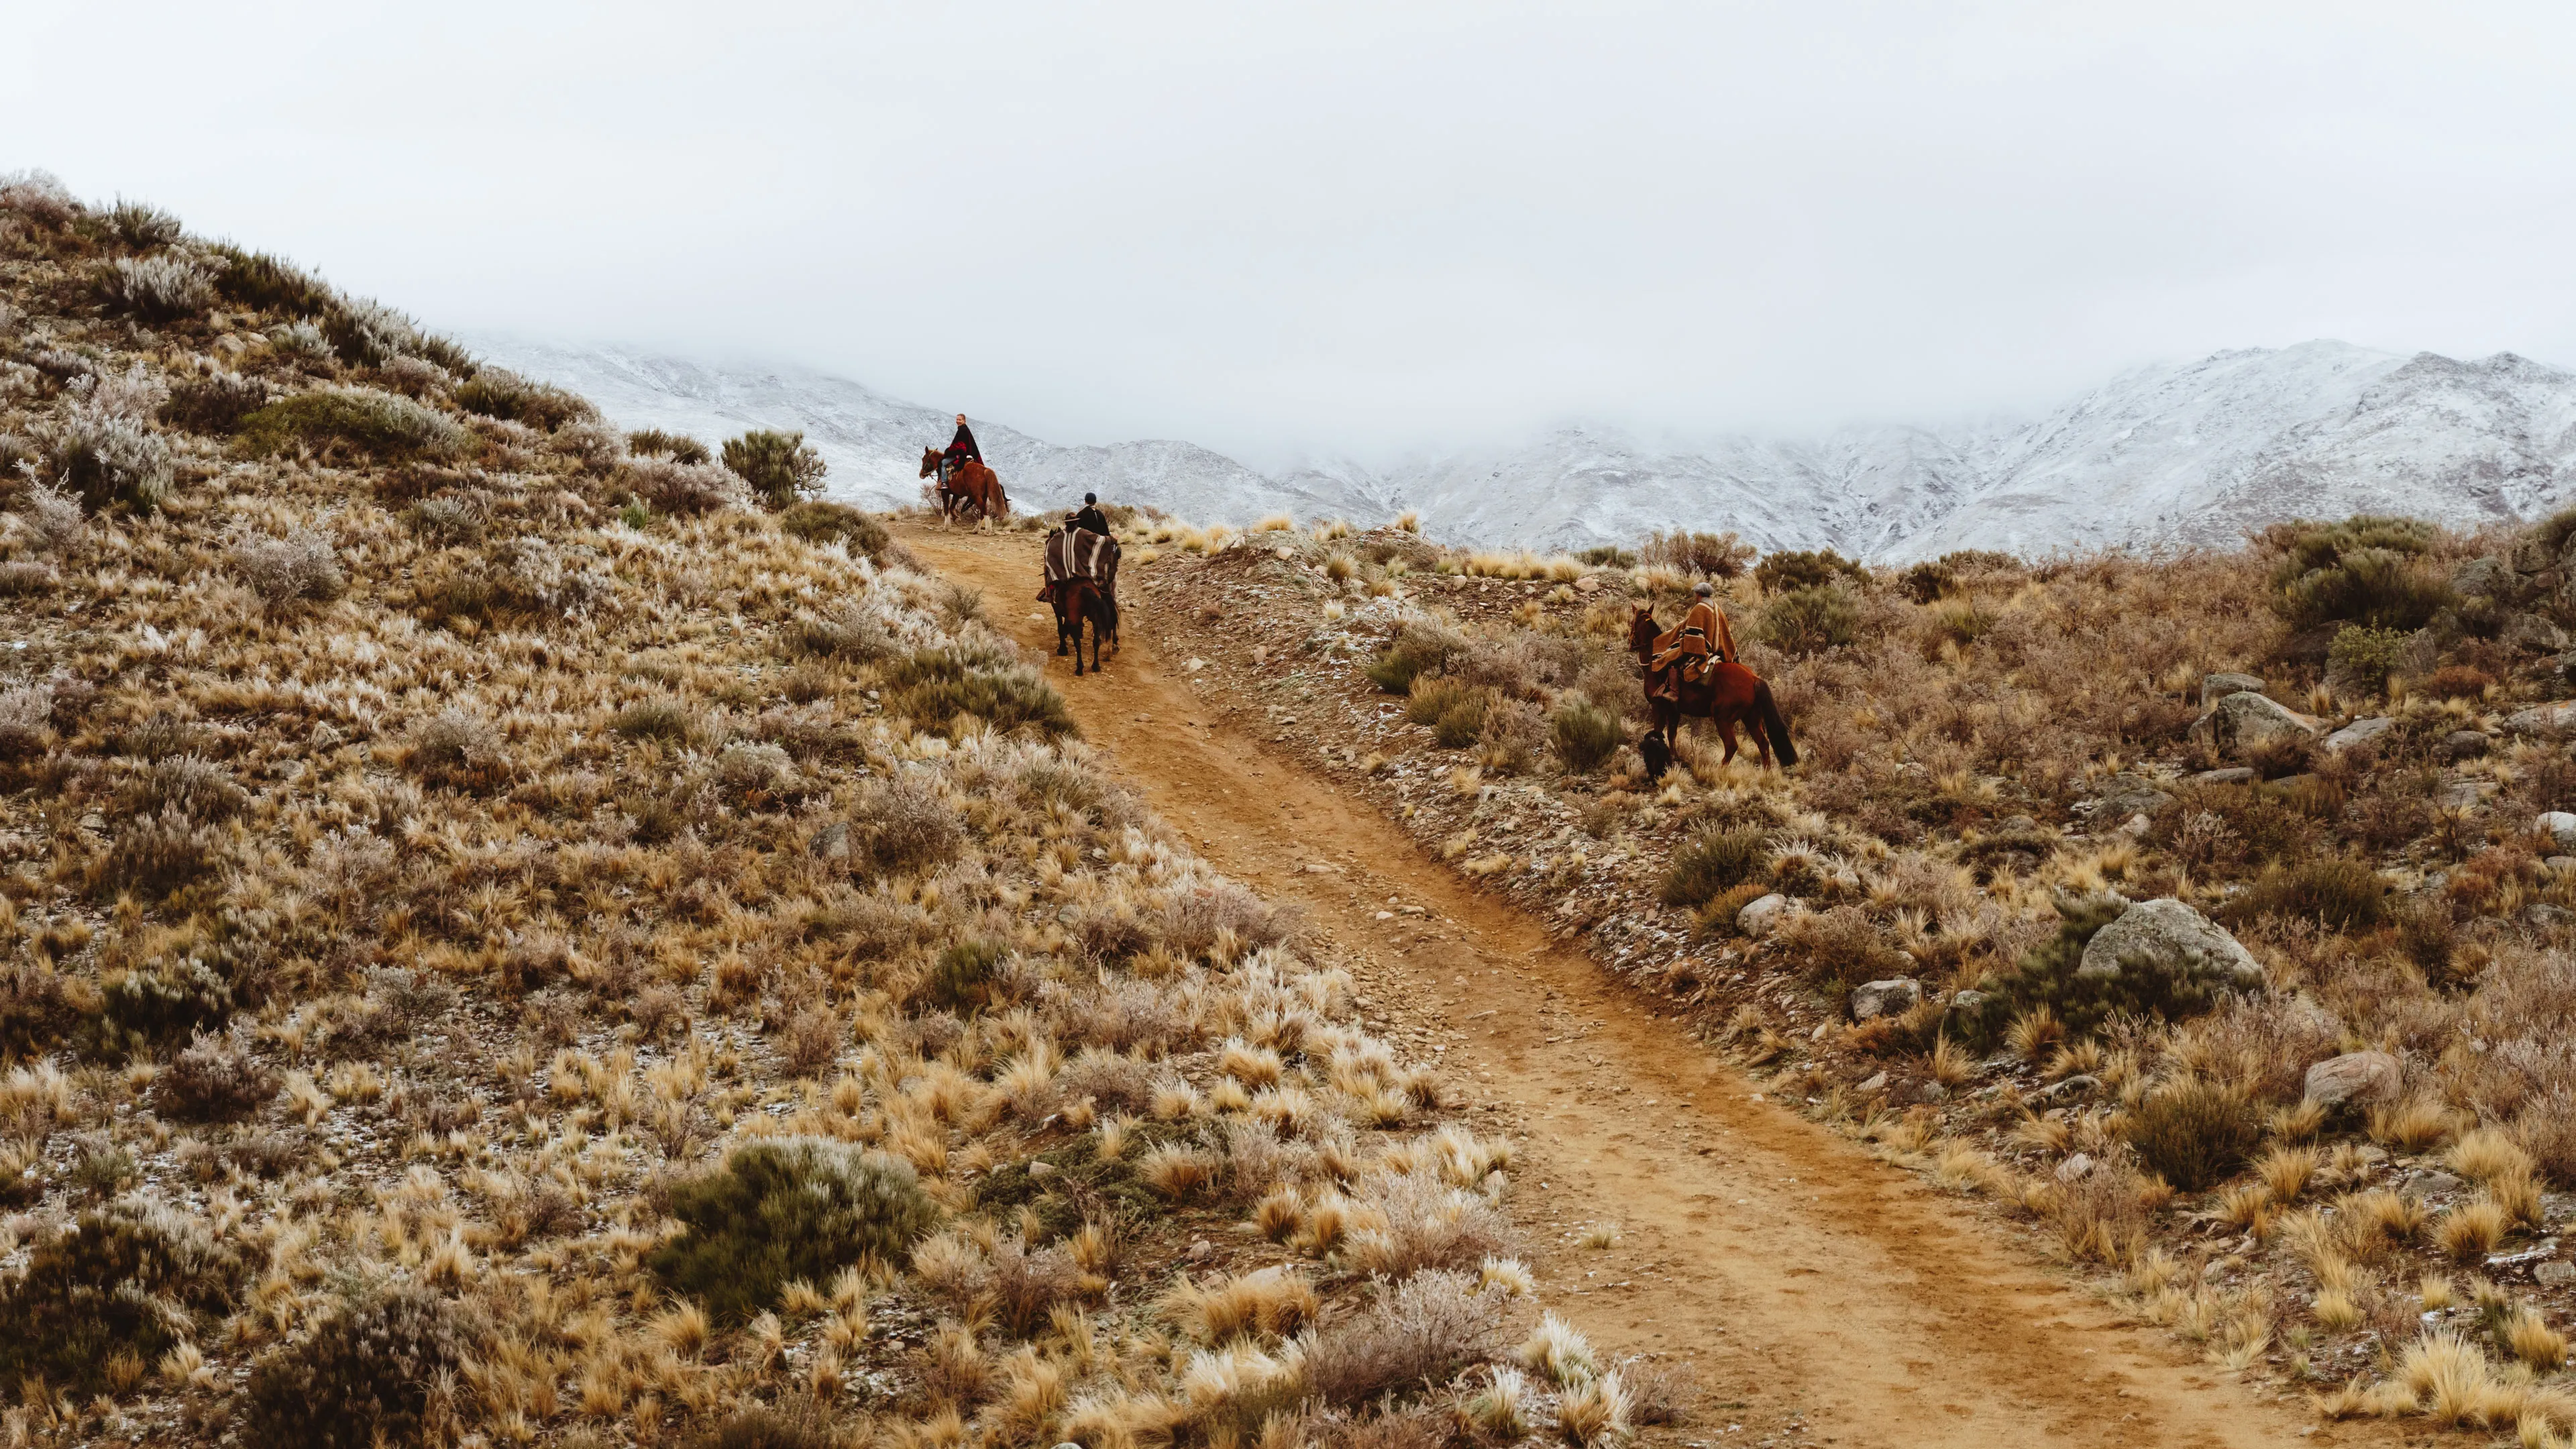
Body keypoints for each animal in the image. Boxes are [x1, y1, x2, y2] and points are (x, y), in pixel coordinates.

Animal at [922, 451, 1010, 523]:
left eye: (924, 459)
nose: (921, 474)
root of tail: (985, 469)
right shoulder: (957, 494)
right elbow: (952, 506)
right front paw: (956, 517)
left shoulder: (946, 492)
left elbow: (948, 508)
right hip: (982, 496)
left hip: (976, 496)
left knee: (983, 509)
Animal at [1627, 600, 1792, 768]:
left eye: (1632, 623)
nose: (1630, 643)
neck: (1655, 665)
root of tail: (1754, 678)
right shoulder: (1674, 711)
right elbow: (1672, 734)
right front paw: (1675, 757)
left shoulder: (1658, 706)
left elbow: (1659, 732)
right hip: (1751, 718)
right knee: (1763, 744)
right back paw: (1766, 773)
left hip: (1723, 719)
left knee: (1732, 746)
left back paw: (1719, 770)